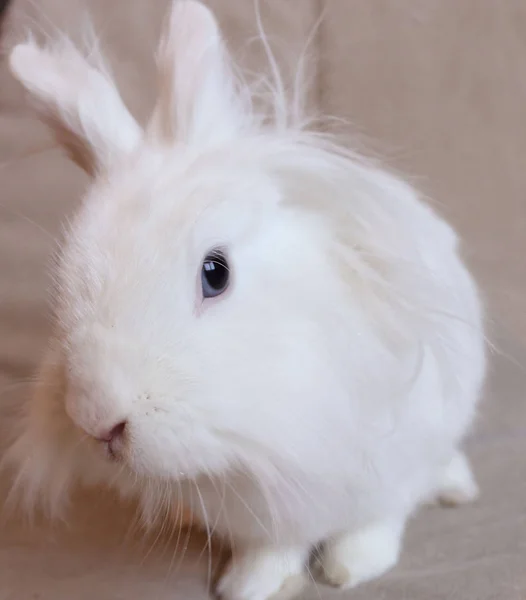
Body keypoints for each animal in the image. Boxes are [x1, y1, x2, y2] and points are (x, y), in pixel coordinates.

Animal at [4, 2, 488, 596]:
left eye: (216, 273)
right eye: (64, 272)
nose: (98, 420)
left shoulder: (392, 467)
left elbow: (376, 523)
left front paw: (348, 569)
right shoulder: (266, 519)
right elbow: (270, 550)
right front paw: (253, 585)